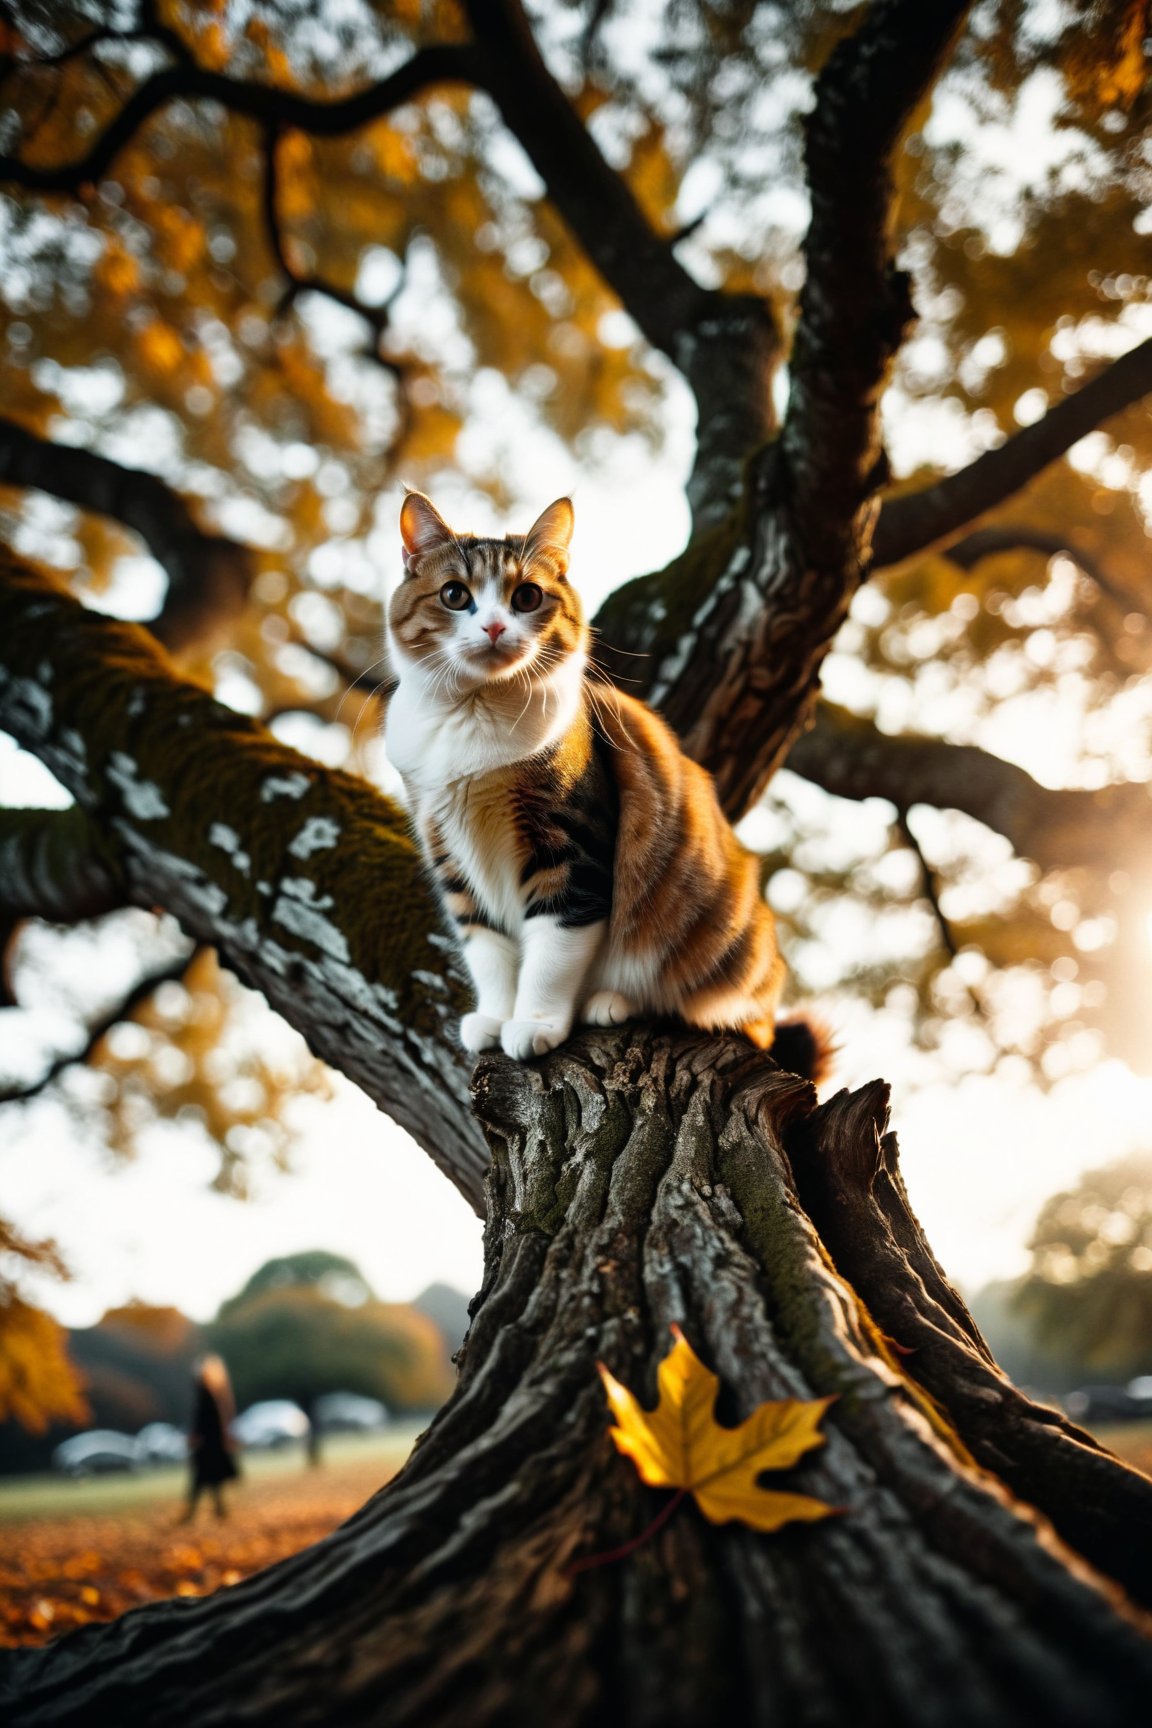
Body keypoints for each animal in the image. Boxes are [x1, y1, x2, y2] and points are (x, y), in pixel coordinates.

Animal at [385, 490, 829, 1078]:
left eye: (527, 596)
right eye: (455, 595)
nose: (495, 628)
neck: (473, 715)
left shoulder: (573, 847)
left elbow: (553, 948)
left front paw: (535, 1025)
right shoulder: (449, 851)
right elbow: (488, 949)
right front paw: (497, 1018)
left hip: (727, 941)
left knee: (735, 1016)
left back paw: (614, 1001)